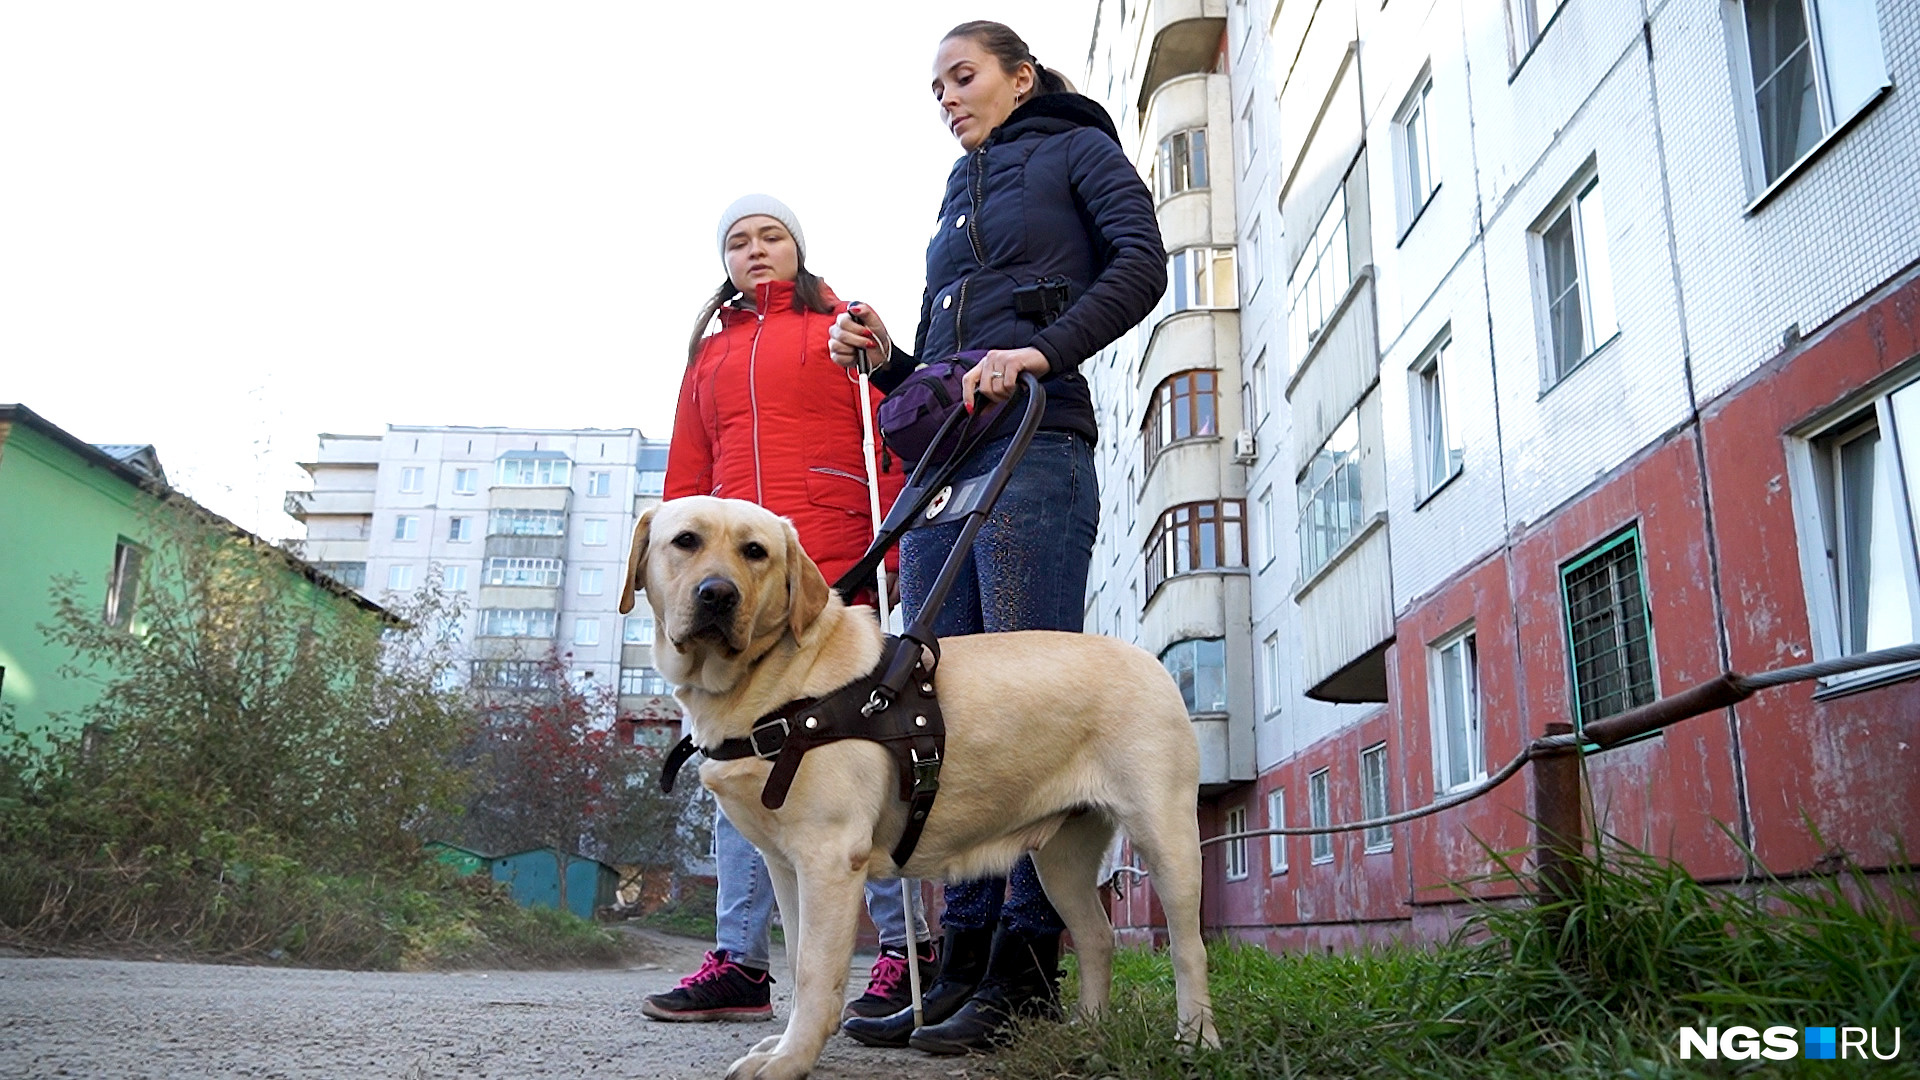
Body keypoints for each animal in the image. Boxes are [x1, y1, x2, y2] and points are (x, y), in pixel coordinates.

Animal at [622, 499, 1221, 1076]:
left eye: (755, 551)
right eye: (686, 541)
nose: (718, 594)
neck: (776, 683)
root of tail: (1146, 658)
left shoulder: (829, 858)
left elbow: (815, 971)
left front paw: (791, 1060)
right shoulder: (785, 865)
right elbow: (794, 957)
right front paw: (785, 1045)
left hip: (1167, 837)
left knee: (1189, 948)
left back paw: (1196, 1040)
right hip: (1062, 859)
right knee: (1098, 937)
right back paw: (1087, 1031)